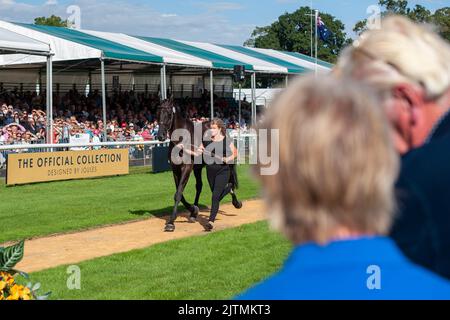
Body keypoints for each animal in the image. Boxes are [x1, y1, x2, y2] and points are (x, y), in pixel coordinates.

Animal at [158, 100, 243, 232]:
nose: (160, 136)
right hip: (197, 168)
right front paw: (193, 210)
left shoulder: (187, 167)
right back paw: (194, 213)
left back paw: (236, 202)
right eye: (158, 112)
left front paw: (171, 222)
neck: (182, 138)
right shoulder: (175, 169)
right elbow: (179, 193)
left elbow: (178, 193)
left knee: (230, 180)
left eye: (168, 113)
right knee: (200, 186)